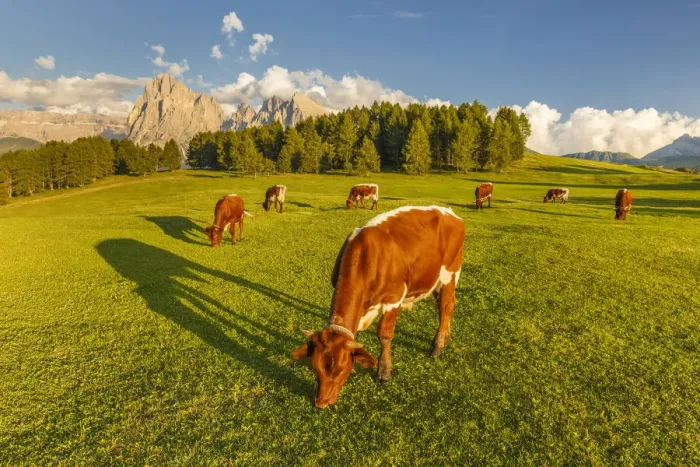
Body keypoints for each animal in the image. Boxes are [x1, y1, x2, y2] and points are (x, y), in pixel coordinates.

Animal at [291, 206, 465, 408]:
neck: (365, 259)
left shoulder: (394, 298)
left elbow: (384, 334)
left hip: (450, 273)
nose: (321, 402)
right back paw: (446, 337)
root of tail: (449, 212)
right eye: (314, 366)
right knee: (448, 304)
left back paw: (437, 345)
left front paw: (384, 372)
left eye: (341, 369)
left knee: (445, 307)